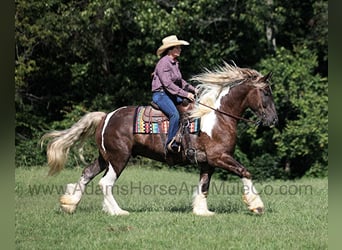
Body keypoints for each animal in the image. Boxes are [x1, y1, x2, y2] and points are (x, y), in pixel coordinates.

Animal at [41, 63, 278, 217]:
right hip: (119, 158)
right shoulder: (219, 157)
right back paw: (118, 212)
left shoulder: (207, 163)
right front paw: (256, 205)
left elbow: (204, 186)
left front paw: (202, 211)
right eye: (266, 92)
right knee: (105, 183)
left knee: (86, 174)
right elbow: (245, 171)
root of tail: (106, 116)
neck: (217, 117)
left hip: (104, 157)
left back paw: (70, 204)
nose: (274, 120)